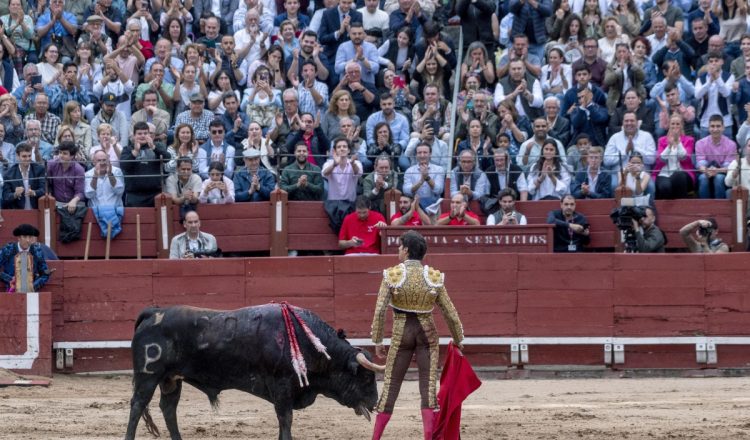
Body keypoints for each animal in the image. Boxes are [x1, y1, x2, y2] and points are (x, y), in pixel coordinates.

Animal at [125, 302, 384, 440]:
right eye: (366, 377)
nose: (375, 403)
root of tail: (153, 312)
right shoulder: (282, 387)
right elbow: (286, 419)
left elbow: (283, 420)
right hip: (148, 376)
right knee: (138, 405)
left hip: (170, 379)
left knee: (168, 408)